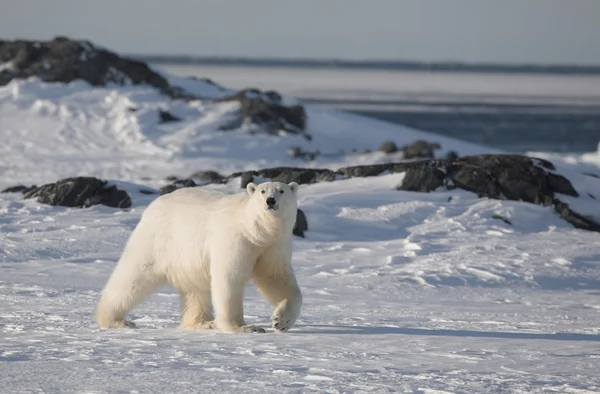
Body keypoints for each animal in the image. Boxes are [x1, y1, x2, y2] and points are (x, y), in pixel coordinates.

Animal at [96, 182, 302, 332]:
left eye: (281, 190)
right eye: (262, 191)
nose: (270, 201)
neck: (255, 231)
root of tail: (153, 205)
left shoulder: (273, 245)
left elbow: (275, 277)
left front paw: (281, 320)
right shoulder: (234, 239)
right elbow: (229, 278)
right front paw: (244, 327)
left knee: (195, 290)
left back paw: (203, 322)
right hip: (157, 241)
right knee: (133, 276)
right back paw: (116, 320)